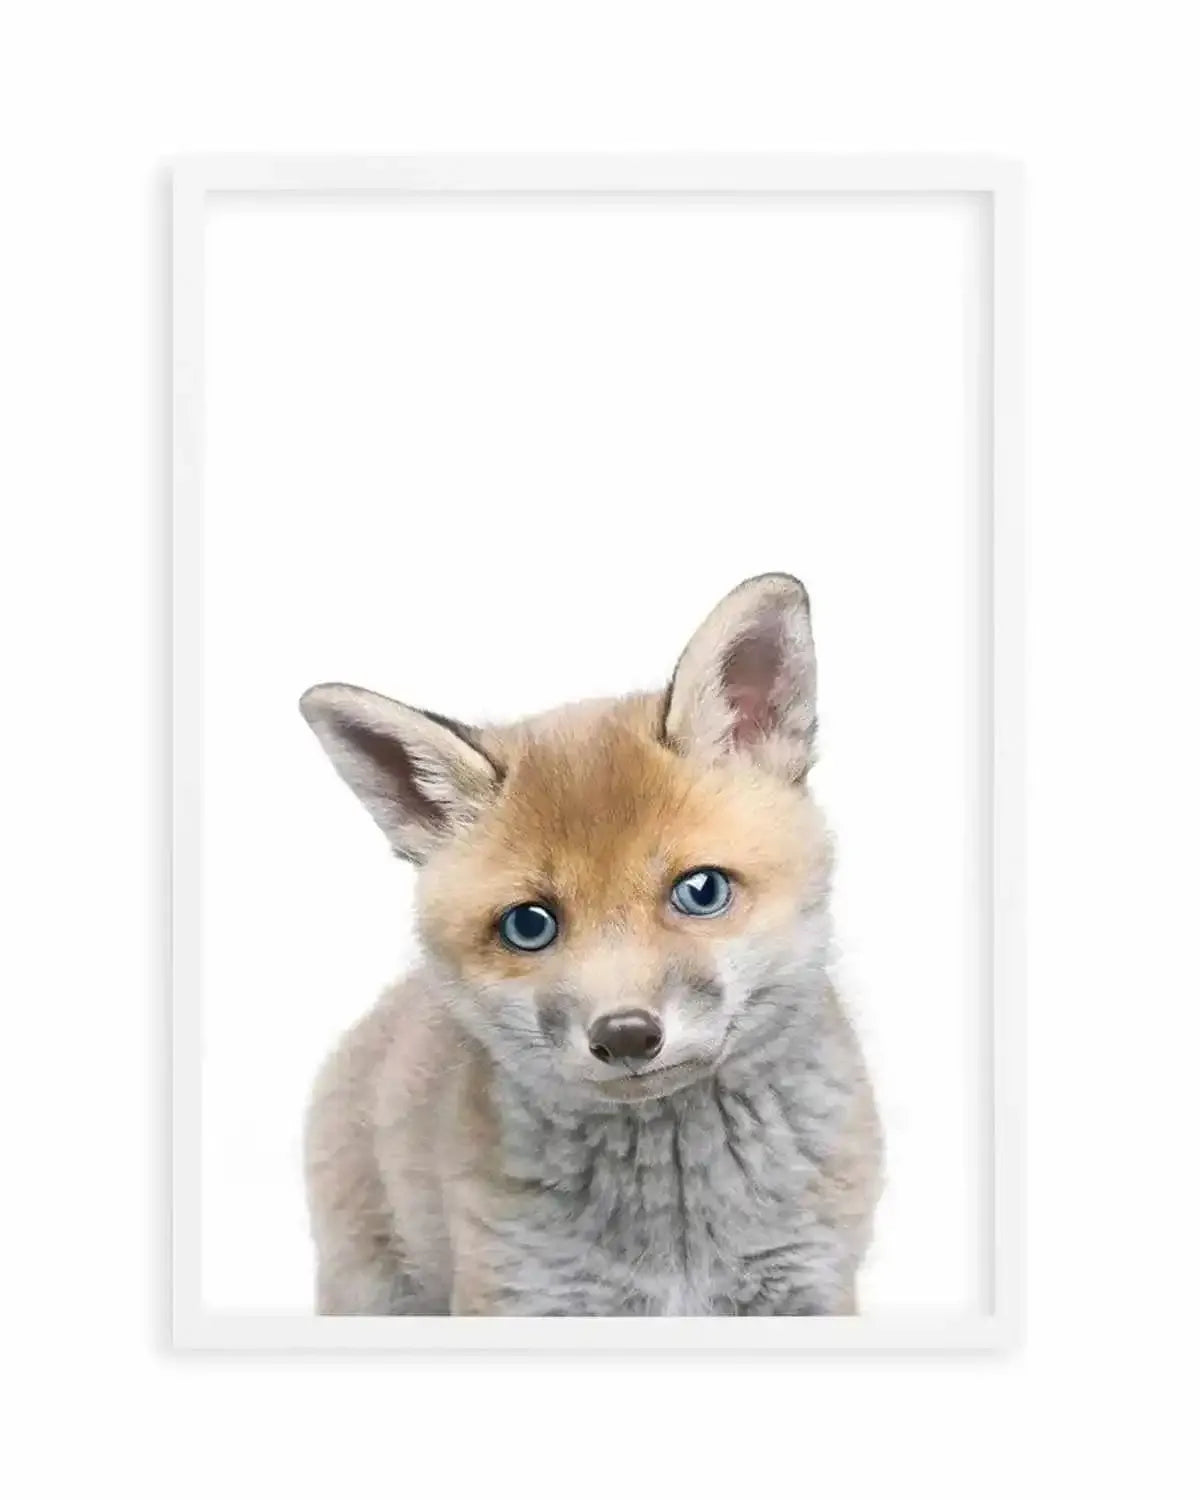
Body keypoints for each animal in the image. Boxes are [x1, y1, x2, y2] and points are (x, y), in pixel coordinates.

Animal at [299, 573, 882, 1316]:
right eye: (530, 925)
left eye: (701, 891)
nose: (627, 1034)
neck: (679, 1234)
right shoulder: (523, 1293)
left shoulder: (809, 1283)